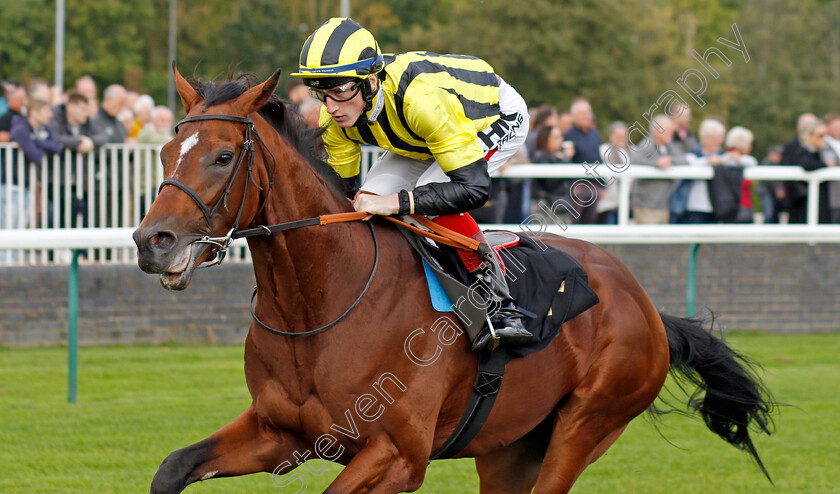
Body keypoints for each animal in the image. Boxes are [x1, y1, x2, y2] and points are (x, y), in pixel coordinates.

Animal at [133, 66, 776, 494]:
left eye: (222, 157)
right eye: (165, 151)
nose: (151, 242)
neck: (319, 304)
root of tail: (646, 307)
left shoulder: (398, 454)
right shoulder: (279, 431)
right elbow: (171, 468)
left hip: (586, 426)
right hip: (509, 449)